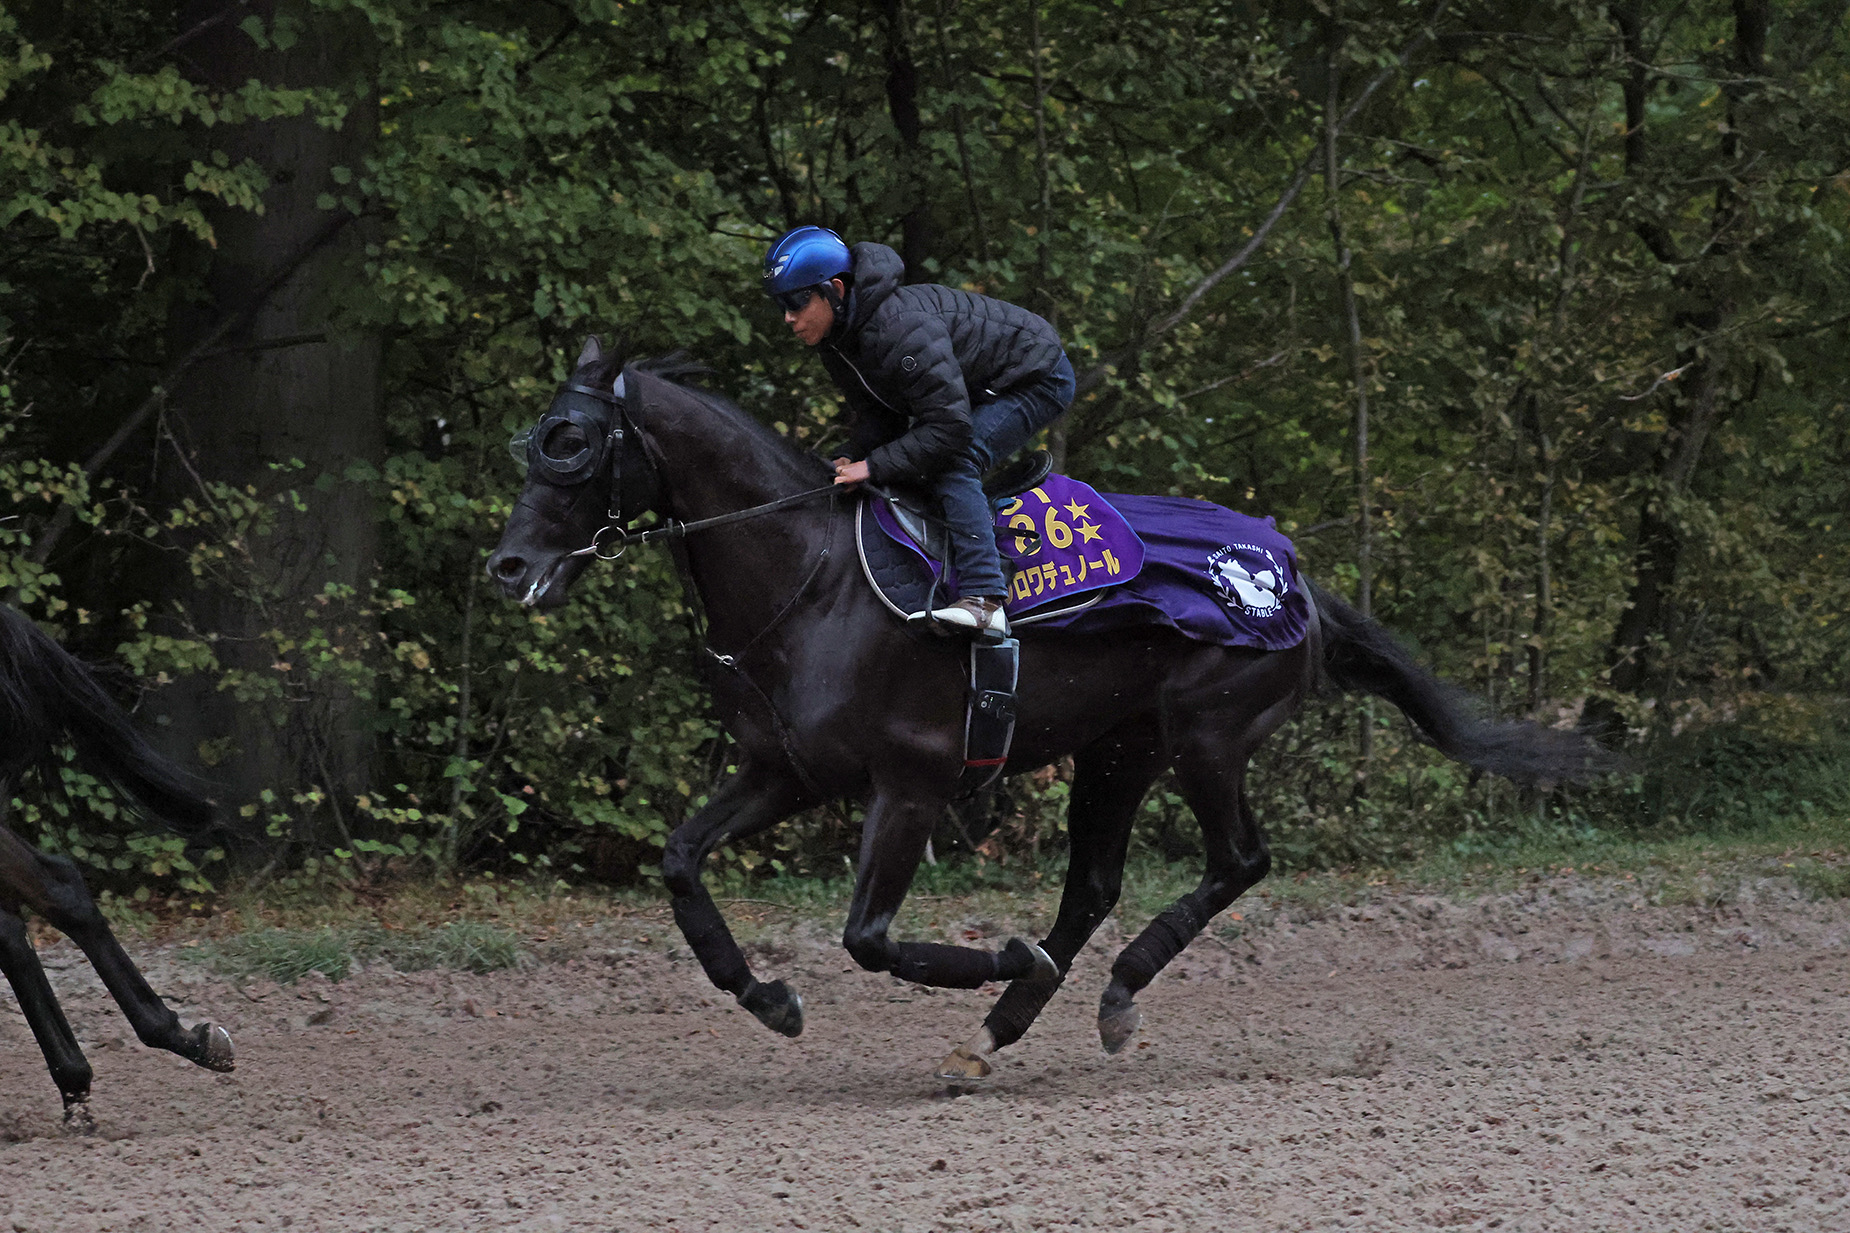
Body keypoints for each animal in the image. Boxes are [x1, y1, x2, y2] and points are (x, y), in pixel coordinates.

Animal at [487, 336, 1605, 1081]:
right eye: (529, 440)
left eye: (572, 442)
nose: (505, 566)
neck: (814, 579)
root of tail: (1287, 571)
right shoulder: (788, 771)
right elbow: (682, 861)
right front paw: (768, 999)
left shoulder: (913, 780)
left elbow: (869, 936)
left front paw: (998, 956)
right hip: (1117, 751)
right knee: (1095, 885)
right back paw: (1002, 1025)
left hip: (1207, 734)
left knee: (1237, 861)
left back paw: (1103, 991)